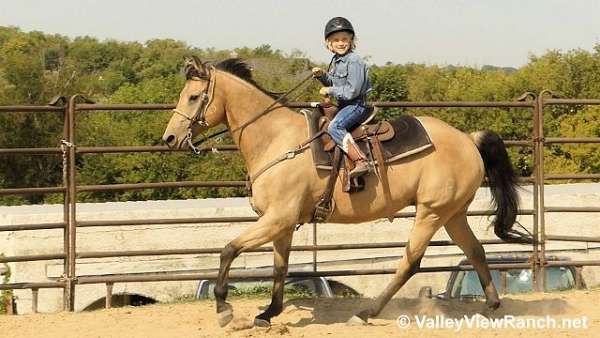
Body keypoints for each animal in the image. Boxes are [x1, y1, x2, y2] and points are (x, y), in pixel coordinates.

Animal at [161, 56, 528, 328]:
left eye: (193, 97)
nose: (169, 138)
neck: (276, 140)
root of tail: (467, 139)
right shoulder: (282, 223)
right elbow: (280, 267)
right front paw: (268, 313)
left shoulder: (276, 218)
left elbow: (228, 250)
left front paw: (224, 310)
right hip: (453, 213)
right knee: (476, 251)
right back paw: (492, 306)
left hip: (431, 212)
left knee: (410, 262)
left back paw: (366, 313)